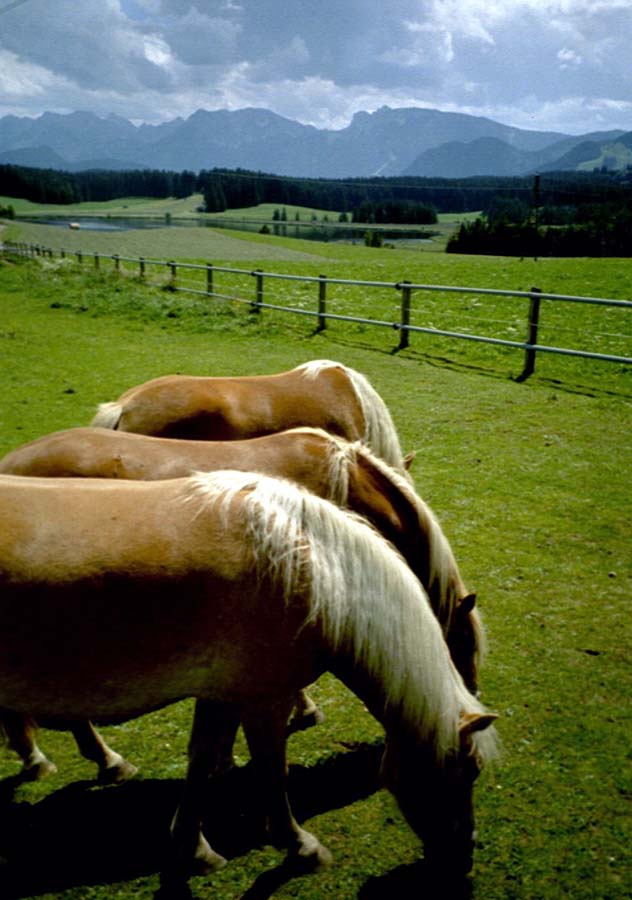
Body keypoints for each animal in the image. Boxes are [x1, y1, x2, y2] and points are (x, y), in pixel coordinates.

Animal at [0, 474, 498, 884]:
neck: (308, 565)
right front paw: (300, 847)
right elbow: (272, 771)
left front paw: (193, 848)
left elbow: (202, 762)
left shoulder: (222, 692)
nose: (465, 856)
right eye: (468, 769)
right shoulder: (265, 699)